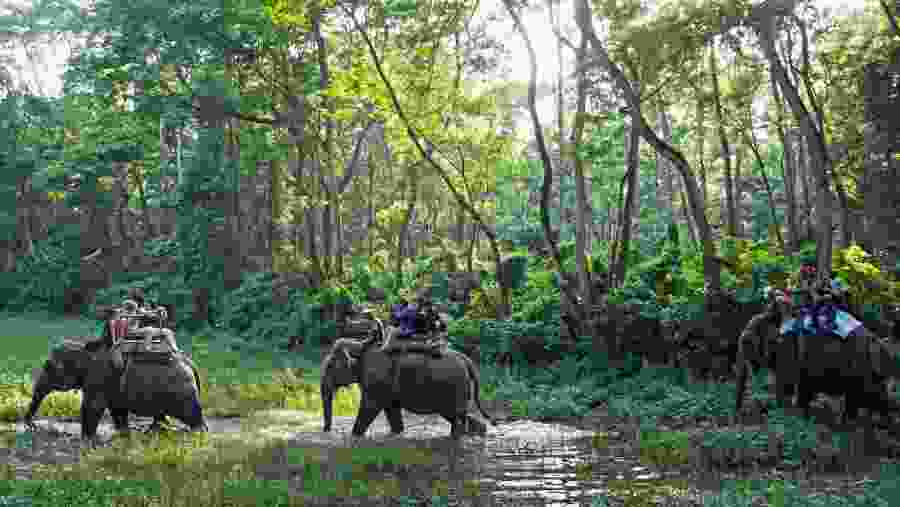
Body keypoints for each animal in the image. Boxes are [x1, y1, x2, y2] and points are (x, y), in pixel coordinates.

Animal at [24, 337, 207, 440]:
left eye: (48, 366)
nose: (32, 426)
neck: (83, 348)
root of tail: (191, 363)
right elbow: (117, 409)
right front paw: (123, 434)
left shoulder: (99, 377)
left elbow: (93, 406)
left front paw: (87, 438)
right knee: (161, 415)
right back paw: (154, 432)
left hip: (182, 391)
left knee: (190, 414)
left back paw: (198, 433)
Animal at [320, 337, 495, 438]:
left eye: (330, 366)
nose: (326, 430)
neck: (360, 346)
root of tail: (466, 359)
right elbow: (391, 410)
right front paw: (397, 433)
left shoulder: (376, 381)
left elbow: (369, 407)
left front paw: (354, 436)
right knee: (459, 416)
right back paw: (477, 433)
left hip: (454, 387)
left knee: (457, 417)